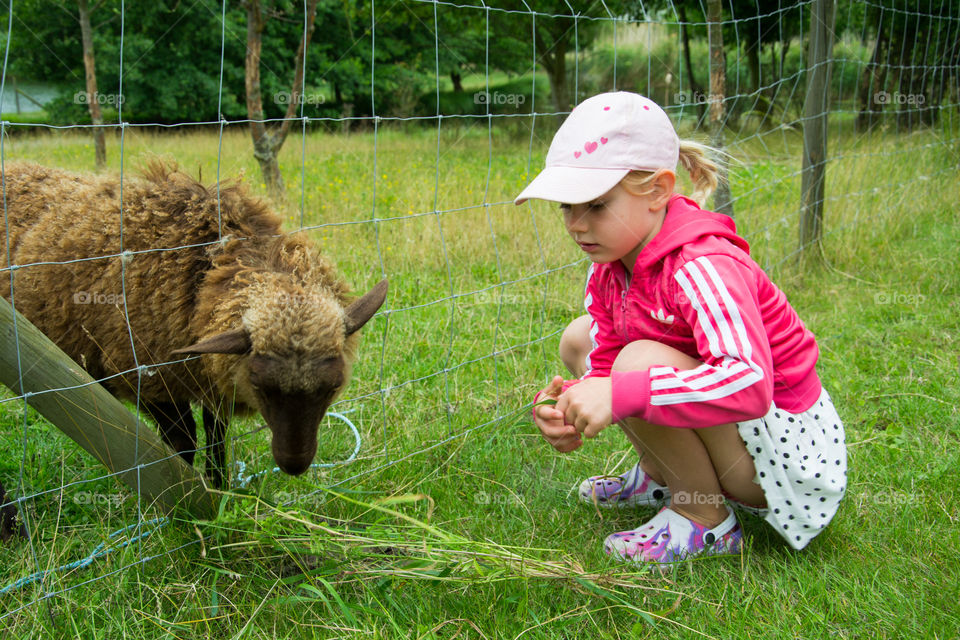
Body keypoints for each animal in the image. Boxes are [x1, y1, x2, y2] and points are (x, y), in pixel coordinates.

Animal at [4, 162, 386, 488]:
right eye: (260, 386)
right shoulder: (150, 377)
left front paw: (221, 487)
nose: (294, 465)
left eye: (333, 386)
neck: (203, 272)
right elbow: (183, 441)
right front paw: (187, 494)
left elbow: (216, 435)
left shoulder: (212, 376)